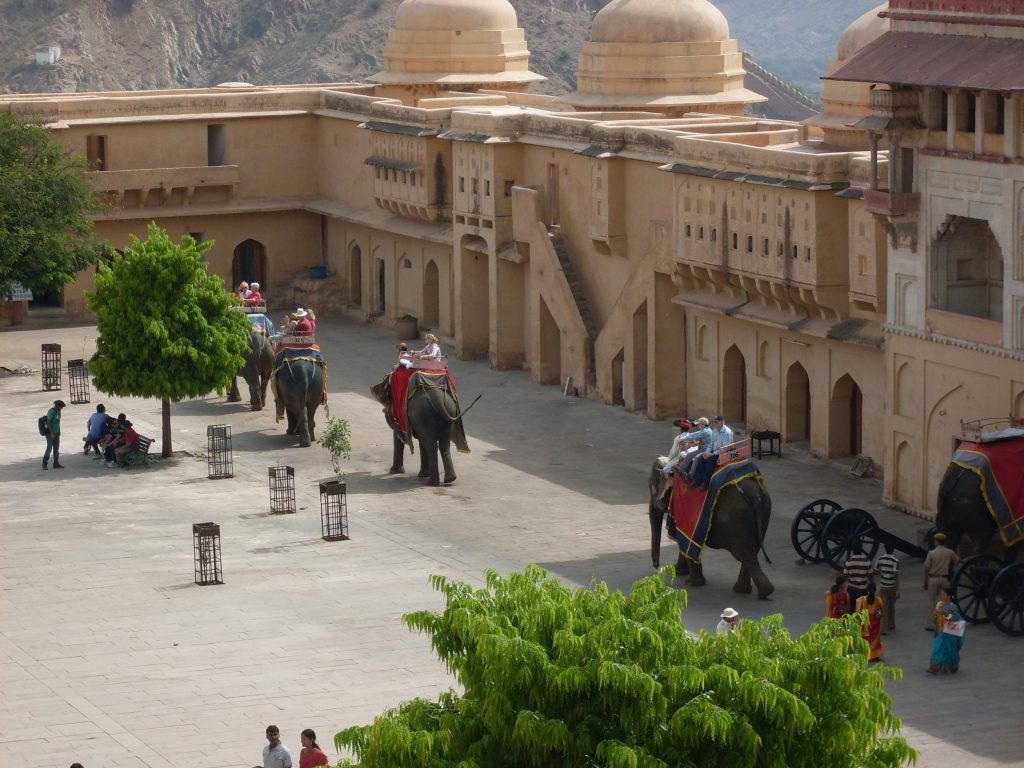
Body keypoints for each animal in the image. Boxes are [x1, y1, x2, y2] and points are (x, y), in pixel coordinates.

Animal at [647, 456, 774, 602]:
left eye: (651, 486)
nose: (656, 568)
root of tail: (756, 496)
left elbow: (684, 539)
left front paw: (691, 582)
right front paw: (678, 571)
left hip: (737, 521)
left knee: (745, 553)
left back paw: (760, 592)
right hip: (764, 512)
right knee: (752, 551)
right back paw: (748, 591)